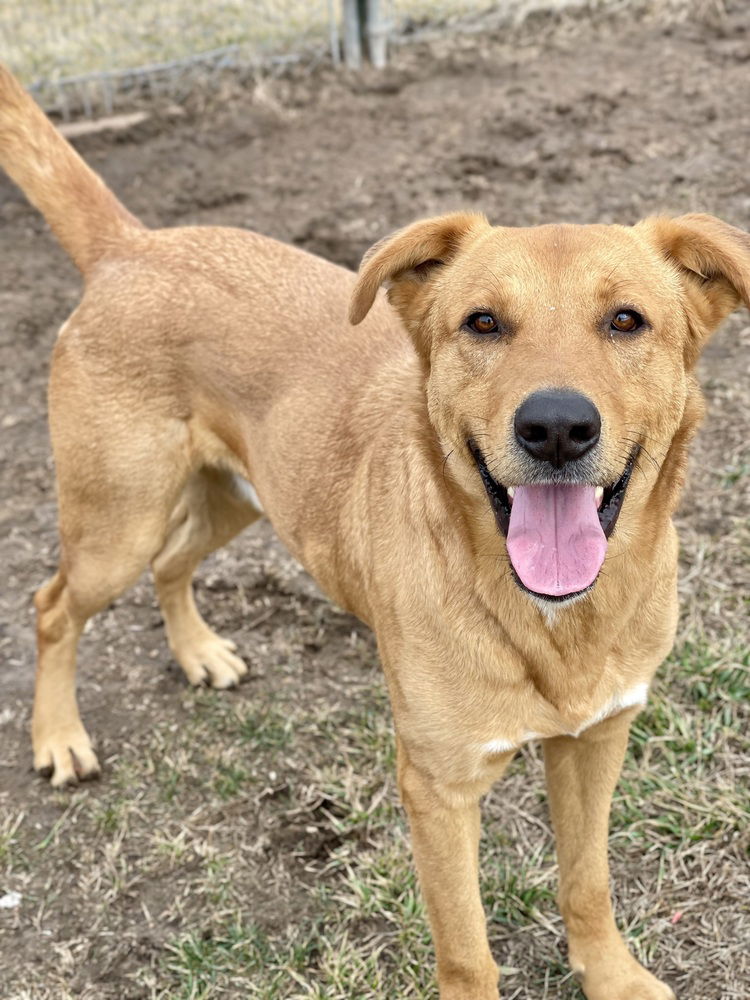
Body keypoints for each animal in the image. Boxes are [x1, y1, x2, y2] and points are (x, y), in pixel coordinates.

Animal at [2, 66, 748, 996]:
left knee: (173, 563)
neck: (551, 620)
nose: (557, 429)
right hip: (118, 521)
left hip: (239, 496)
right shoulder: (438, 786)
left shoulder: (598, 738)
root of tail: (132, 246)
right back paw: (59, 738)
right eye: (482, 323)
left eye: (627, 321)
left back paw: (199, 652)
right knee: (52, 605)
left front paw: (610, 974)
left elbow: (588, 881)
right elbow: (466, 949)